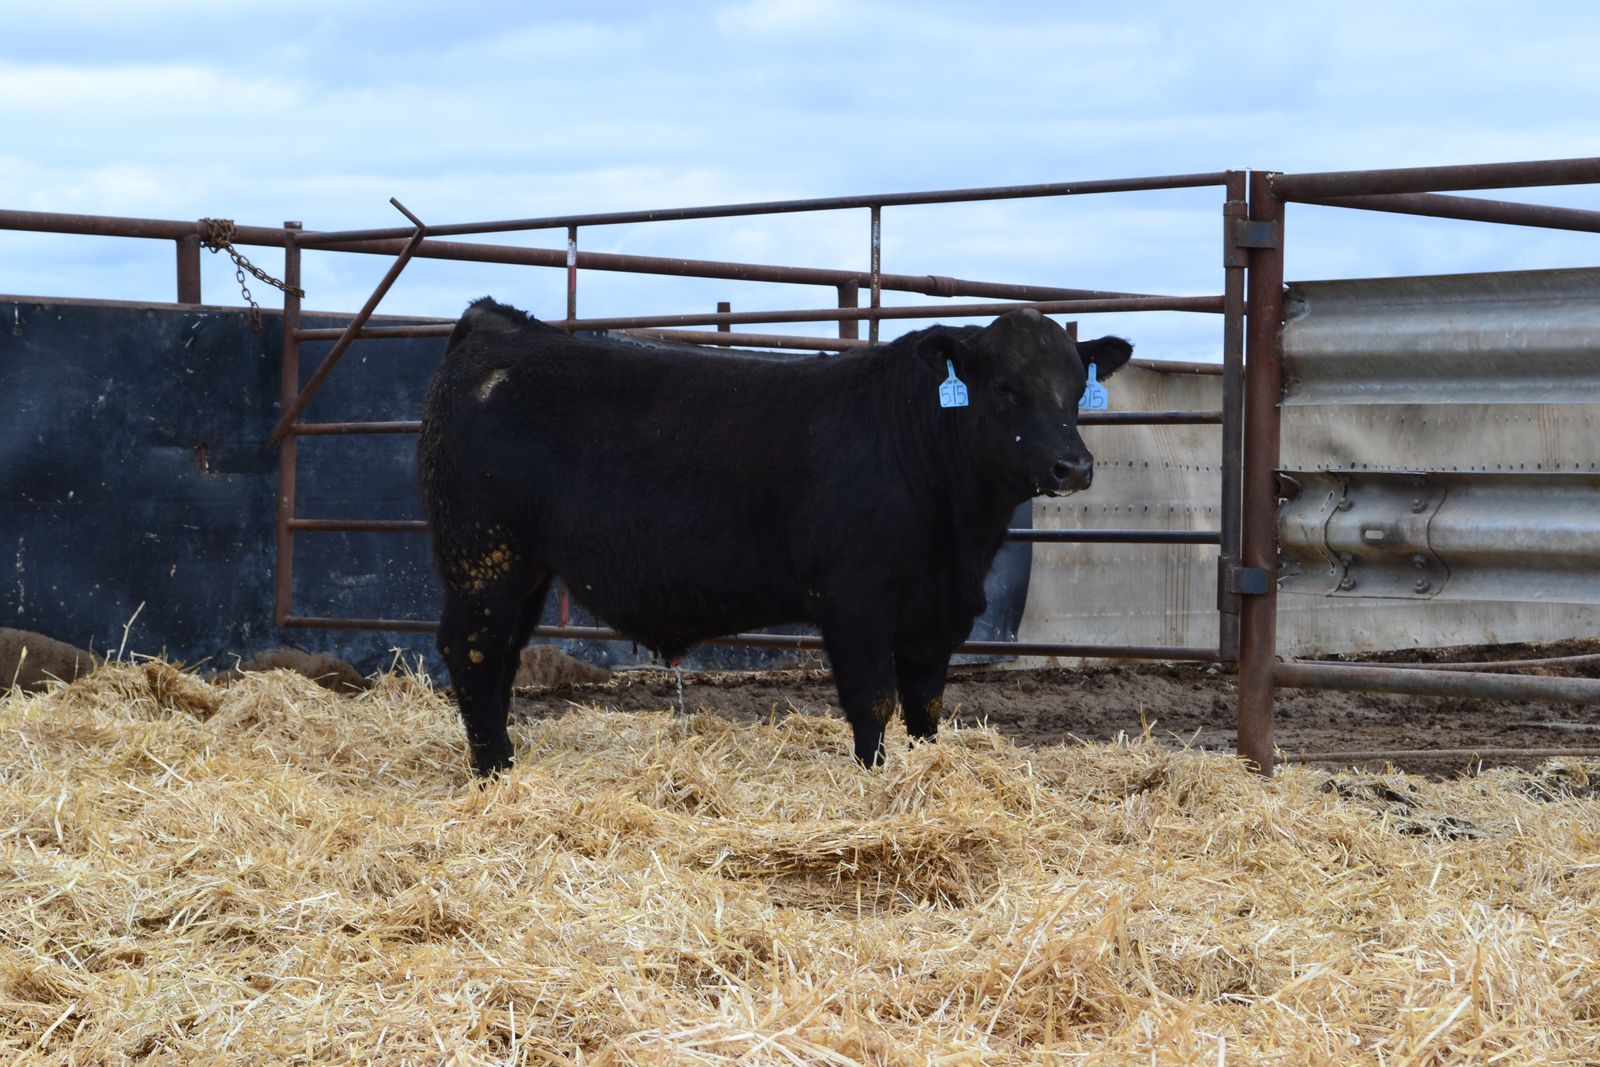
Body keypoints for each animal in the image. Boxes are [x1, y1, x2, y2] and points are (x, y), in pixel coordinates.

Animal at [418, 298, 1132, 777]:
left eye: (1077, 389)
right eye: (1005, 388)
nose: (1073, 466)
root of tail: (498, 326)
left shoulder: (936, 613)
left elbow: (926, 704)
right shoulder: (855, 598)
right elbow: (873, 698)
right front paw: (875, 780)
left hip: (525, 567)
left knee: (502, 655)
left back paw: (503, 762)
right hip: (483, 552)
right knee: (471, 650)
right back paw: (493, 772)